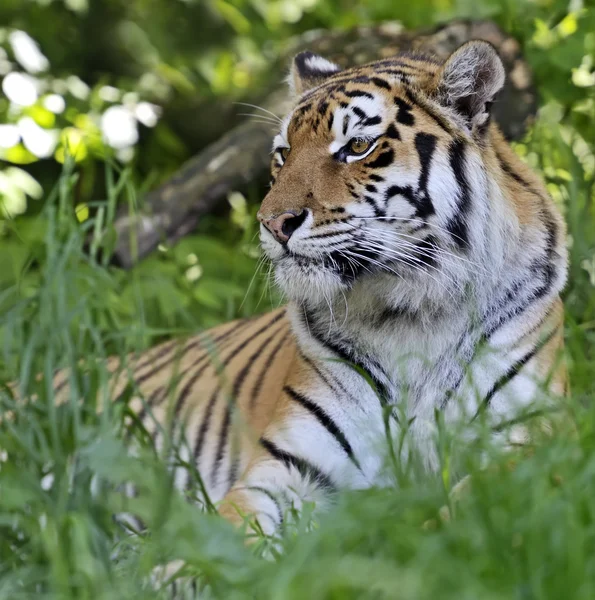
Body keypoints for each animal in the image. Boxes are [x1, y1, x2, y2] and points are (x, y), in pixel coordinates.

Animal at [43, 41, 568, 536]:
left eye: (358, 146)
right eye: (282, 154)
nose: (272, 223)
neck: (412, 309)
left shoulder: (529, 438)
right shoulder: (287, 466)